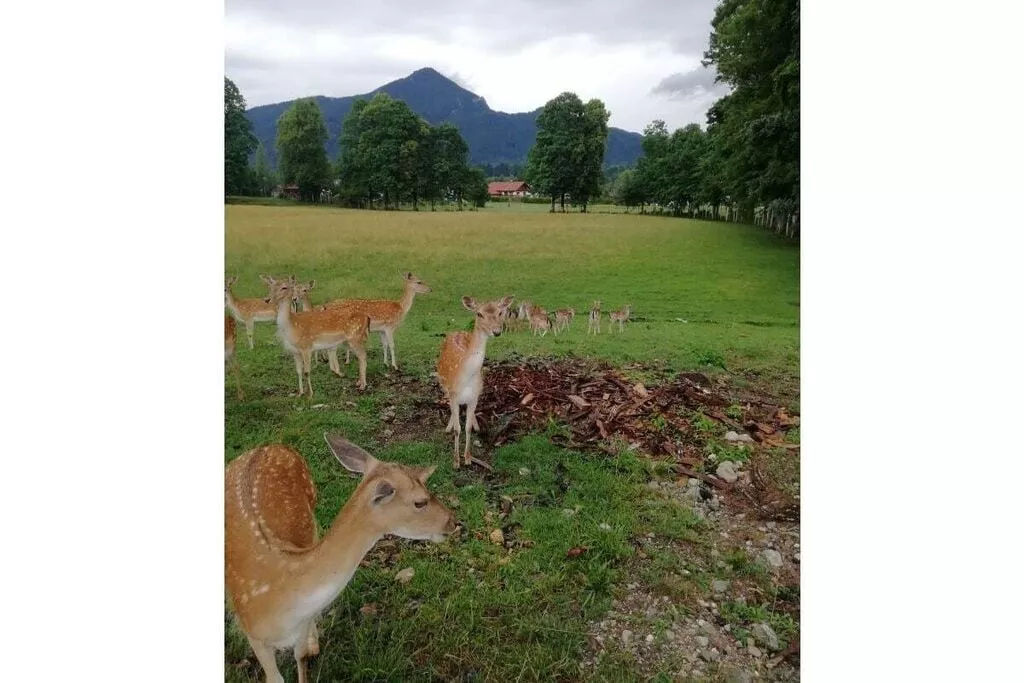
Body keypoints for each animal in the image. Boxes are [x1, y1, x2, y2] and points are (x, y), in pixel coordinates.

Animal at [228, 436, 460, 683]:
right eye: (420, 502)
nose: (453, 521)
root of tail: (269, 446)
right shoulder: (253, 633)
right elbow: (276, 678)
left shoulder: (302, 624)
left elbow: (301, 656)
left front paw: (310, 649)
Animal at [434, 294, 512, 471]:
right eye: (479, 314)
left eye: (500, 312)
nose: (497, 331)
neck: (466, 379)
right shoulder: (454, 395)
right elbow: (458, 429)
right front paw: (456, 462)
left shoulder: (475, 397)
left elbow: (467, 427)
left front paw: (468, 458)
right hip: (443, 384)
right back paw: (448, 426)